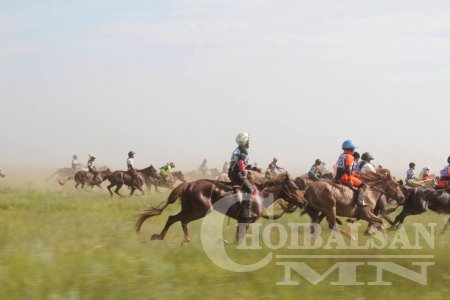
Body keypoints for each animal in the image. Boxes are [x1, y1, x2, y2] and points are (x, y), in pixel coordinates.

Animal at [134, 173, 306, 244]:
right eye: (294, 187)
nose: (304, 202)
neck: (261, 195)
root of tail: (188, 184)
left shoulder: (242, 221)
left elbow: (238, 238)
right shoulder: (246, 220)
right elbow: (239, 238)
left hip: (189, 209)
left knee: (174, 219)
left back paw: (164, 237)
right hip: (199, 211)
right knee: (179, 220)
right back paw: (180, 239)